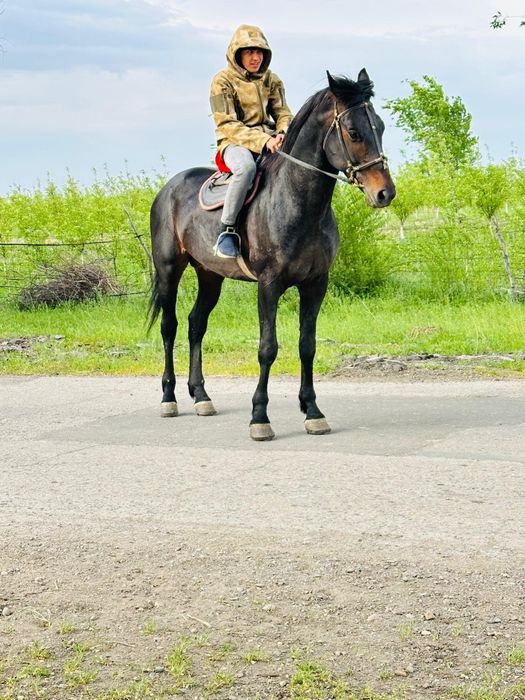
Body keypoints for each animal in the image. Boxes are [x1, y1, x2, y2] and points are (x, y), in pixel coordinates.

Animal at [148, 69, 396, 440]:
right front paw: (259, 417)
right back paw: (168, 399)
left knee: (196, 325)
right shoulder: (269, 285)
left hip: (210, 276)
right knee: (169, 327)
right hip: (168, 270)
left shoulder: (315, 285)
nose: (385, 193)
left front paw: (313, 411)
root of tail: (168, 189)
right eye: (353, 132)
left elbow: (307, 345)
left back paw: (201, 396)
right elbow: (268, 348)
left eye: (379, 127)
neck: (296, 203)